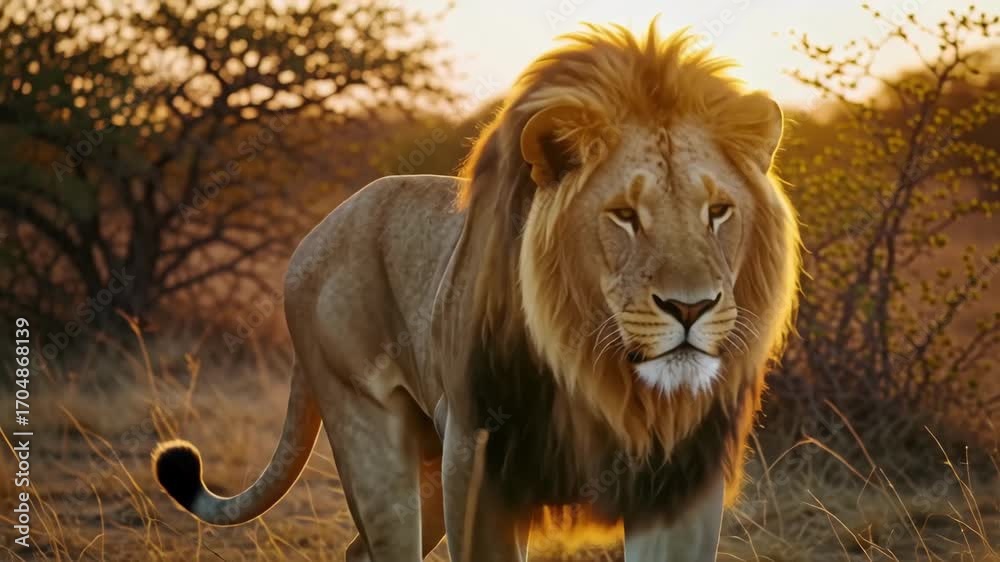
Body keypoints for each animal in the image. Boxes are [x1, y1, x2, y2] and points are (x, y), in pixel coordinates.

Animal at [153, 22, 799, 562]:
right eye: (623, 216)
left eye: (718, 211)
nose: (691, 307)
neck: (601, 378)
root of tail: (323, 224)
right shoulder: (477, 459)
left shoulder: (681, 480)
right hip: (372, 436)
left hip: (429, 457)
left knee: (357, 550)